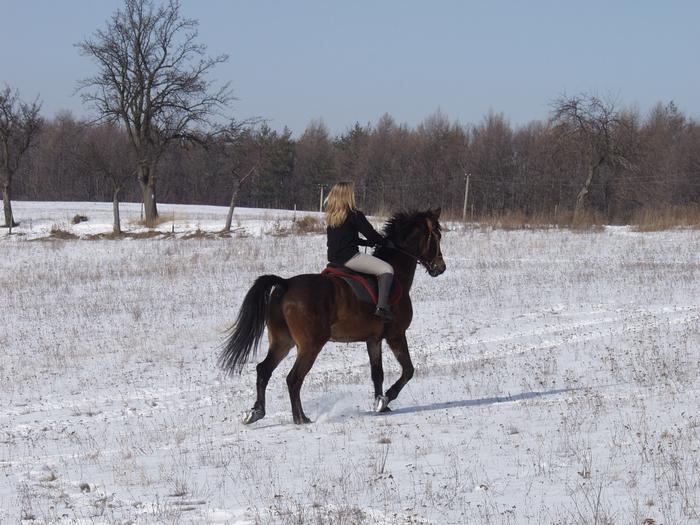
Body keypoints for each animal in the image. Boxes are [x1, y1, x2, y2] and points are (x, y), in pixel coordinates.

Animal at [218, 208, 446, 424]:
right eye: (436, 235)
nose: (441, 268)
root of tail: (286, 283)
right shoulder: (396, 335)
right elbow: (408, 370)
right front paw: (386, 399)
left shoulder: (373, 340)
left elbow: (377, 373)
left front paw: (381, 404)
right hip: (310, 345)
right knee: (293, 378)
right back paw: (300, 418)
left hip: (283, 341)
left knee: (263, 371)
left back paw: (256, 413)